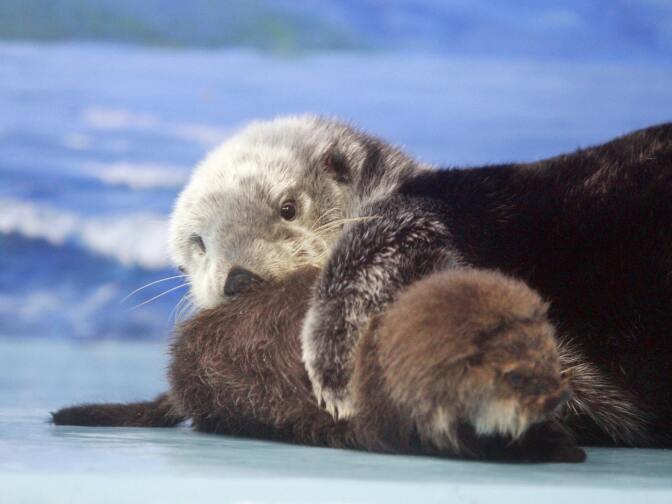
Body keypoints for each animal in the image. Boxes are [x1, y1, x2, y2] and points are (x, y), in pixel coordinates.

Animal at [53, 118, 672, 460]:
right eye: (198, 244)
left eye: (287, 207)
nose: (238, 279)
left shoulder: (416, 211)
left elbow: (373, 249)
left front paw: (332, 371)